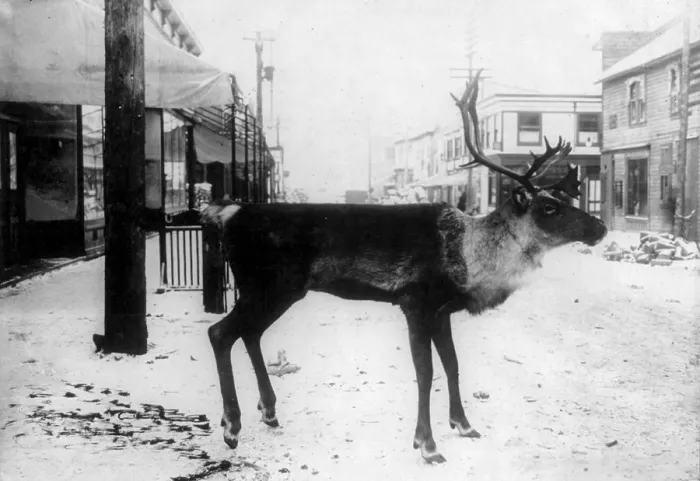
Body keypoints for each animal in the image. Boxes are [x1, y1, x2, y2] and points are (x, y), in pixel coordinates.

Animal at [202, 70, 608, 464]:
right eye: (549, 207)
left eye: (564, 198)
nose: (600, 227)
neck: (467, 258)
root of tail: (229, 212)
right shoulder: (415, 301)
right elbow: (425, 372)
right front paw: (427, 444)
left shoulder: (442, 311)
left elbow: (452, 364)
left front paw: (464, 425)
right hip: (269, 285)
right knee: (221, 332)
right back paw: (231, 425)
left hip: (273, 290)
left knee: (249, 334)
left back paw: (268, 411)